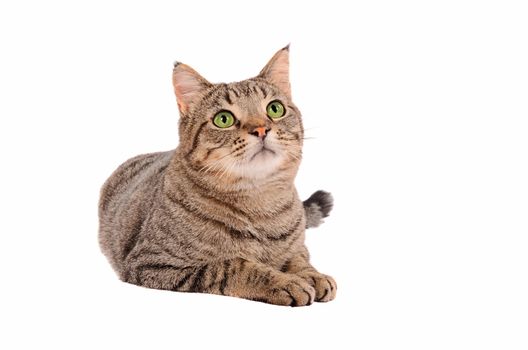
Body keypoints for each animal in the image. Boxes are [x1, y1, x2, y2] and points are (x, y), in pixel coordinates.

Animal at [98, 46, 336, 306]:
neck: (259, 202)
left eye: (275, 109)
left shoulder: (298, 247)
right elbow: (234, 265)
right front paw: (286, 282)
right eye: (224, 119)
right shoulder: (153, 263)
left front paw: (312, 275)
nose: (261, 129)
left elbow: (298, 258)